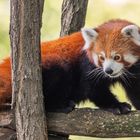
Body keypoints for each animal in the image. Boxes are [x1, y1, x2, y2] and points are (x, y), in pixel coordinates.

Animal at [0, 19, 140, 114]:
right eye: (101, 57)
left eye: (117, 57)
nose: (108, 70)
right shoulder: (87, 66)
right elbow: (93, 89)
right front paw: (117, 105)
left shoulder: (134, 70)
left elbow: (135, 89)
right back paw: (60, 105)